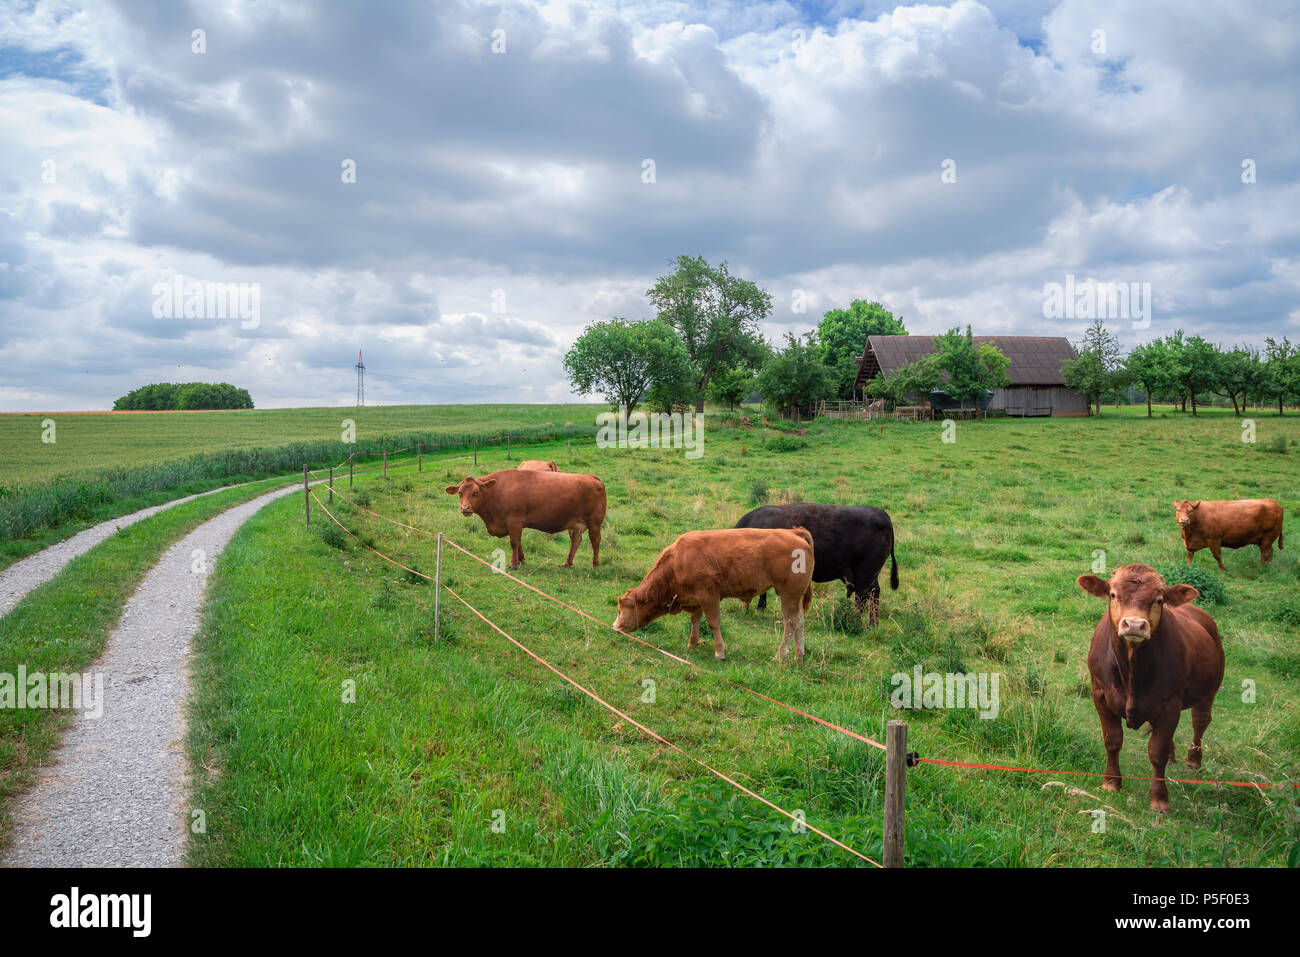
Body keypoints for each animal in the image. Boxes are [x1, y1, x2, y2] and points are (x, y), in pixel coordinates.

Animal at [444, 468, 605, 566]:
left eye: (475, 493)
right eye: (460, 493)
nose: (465, 508)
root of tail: (592, 477)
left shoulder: (514, 520)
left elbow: (514, 542)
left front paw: (513, 564)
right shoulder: (514, 524)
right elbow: (518, 542)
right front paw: (521, 560)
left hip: (594, 522)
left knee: (595, 540)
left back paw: (595, 564)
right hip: (574, 524)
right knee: (575, 541)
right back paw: (567, 563)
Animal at [611, 527, 811, 660]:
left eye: (621, 610)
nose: (614, 626)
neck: (678, 562)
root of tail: (794, 532)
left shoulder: (709, 596)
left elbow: (714, 622)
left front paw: (719, 651)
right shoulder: (697, 599)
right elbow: (695, 620)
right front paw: (692, 643)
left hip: (789, 594)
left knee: (791, 623)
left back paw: (780, 655)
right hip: (795, 598)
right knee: (800, 621)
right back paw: (798, 655)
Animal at [738, 501, 899, 629]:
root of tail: (881, 512)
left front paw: (759, 607)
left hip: (865, 574)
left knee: (863, 597)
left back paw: (855, 621)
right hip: (871, 575)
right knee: (873, 594)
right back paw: (872, 624)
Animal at [1071, 564, 1222, 811]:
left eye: (1159, 600)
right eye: (1113, 595)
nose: (1134, 624)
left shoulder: (1170, 703)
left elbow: (1156, 751)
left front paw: (1159, 798)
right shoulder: (1100, 694)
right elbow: (1113, 740)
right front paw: (1111, 783)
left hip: (1209, 691)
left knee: (1200, 721)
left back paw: (1193, 759)